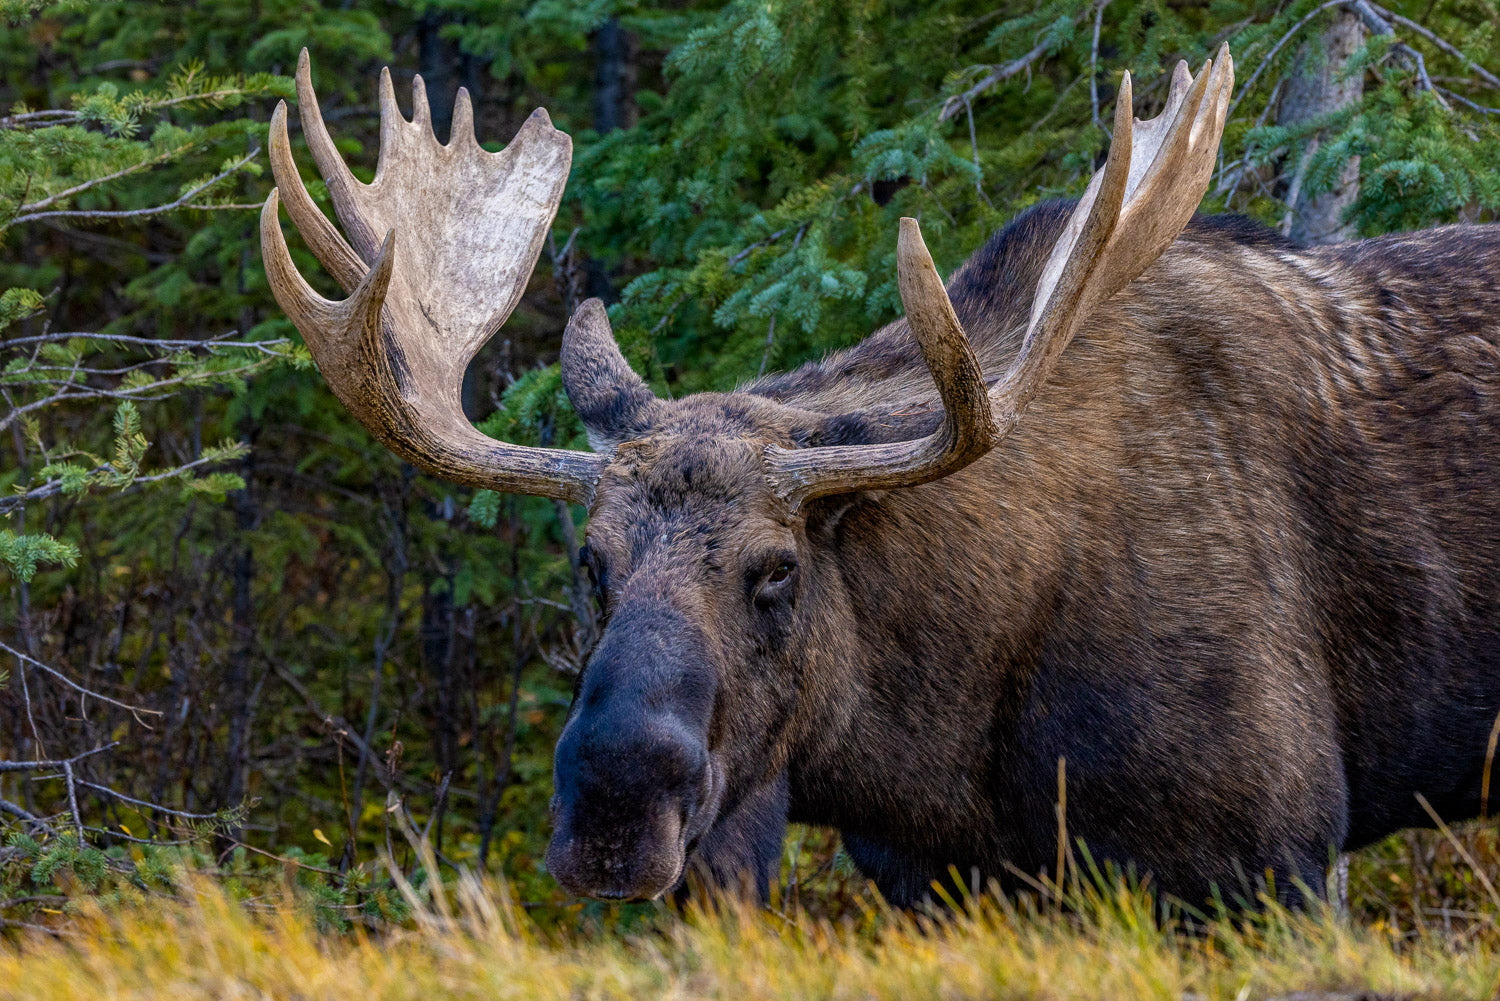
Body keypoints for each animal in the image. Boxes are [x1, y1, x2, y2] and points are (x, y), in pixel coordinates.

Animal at [261, 45, 1500, 908]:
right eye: (588, 560)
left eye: (776, 568)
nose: (613, 805)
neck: (939, 733)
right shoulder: (932, 872)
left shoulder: (1266, 846)